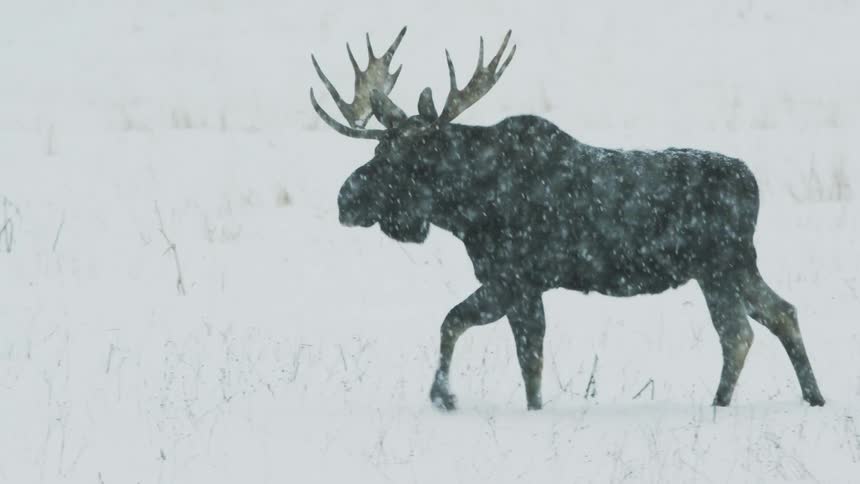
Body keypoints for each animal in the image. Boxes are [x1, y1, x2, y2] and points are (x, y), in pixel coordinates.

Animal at [309, 27, 825, 410]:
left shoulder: (512, 278)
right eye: (378, 149)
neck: (468, 207)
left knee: (738, 332)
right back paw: (813, 397)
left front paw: (444, 397)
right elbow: (528, 362)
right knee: (782, 312)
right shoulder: (524, 285)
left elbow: (455, 323)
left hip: (716, 266)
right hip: (738, 265)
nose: (345, 199)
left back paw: (720, 404)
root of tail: (752, 182)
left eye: (408, 159)